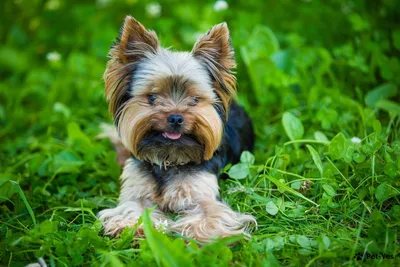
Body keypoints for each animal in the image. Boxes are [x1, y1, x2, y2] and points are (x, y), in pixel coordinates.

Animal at [97, 15, 256, 244]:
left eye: (195, 100)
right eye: (152, 97)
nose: (175, 117)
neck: (169, 158)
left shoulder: (203, 194)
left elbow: (209, 217)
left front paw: (202, 241)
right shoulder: (137, 193)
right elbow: (134, 210)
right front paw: (133, 228)